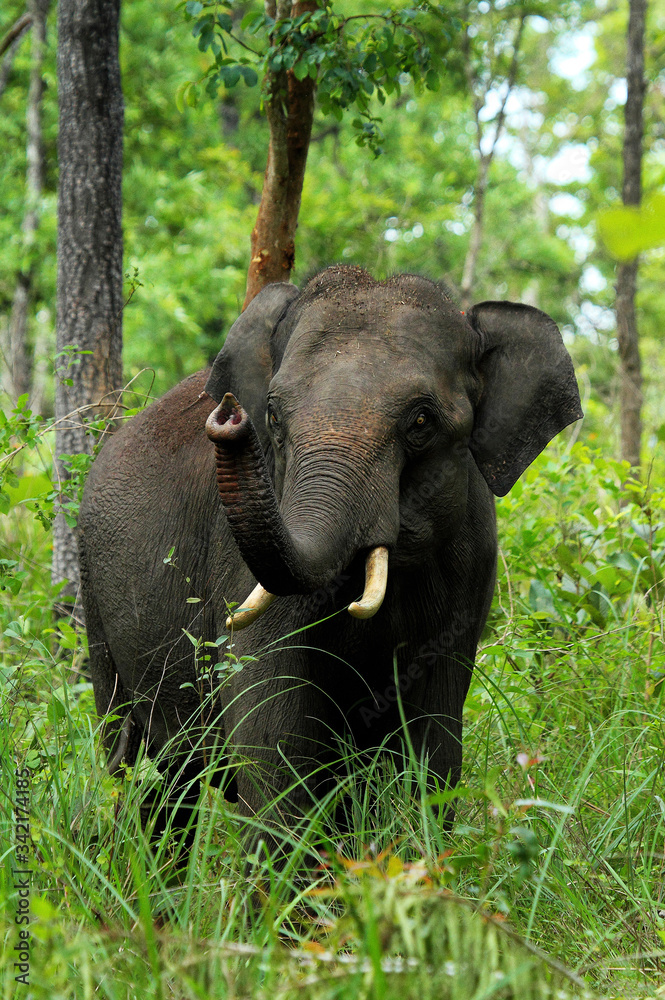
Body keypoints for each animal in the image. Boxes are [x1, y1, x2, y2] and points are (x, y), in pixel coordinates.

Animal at [78, 265, 583, 842]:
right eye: (273, 416)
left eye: (421, 422)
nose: (228, 415)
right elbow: (273, 735)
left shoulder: (471, 561)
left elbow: (434, 743)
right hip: (94, 595)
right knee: (146, 772)